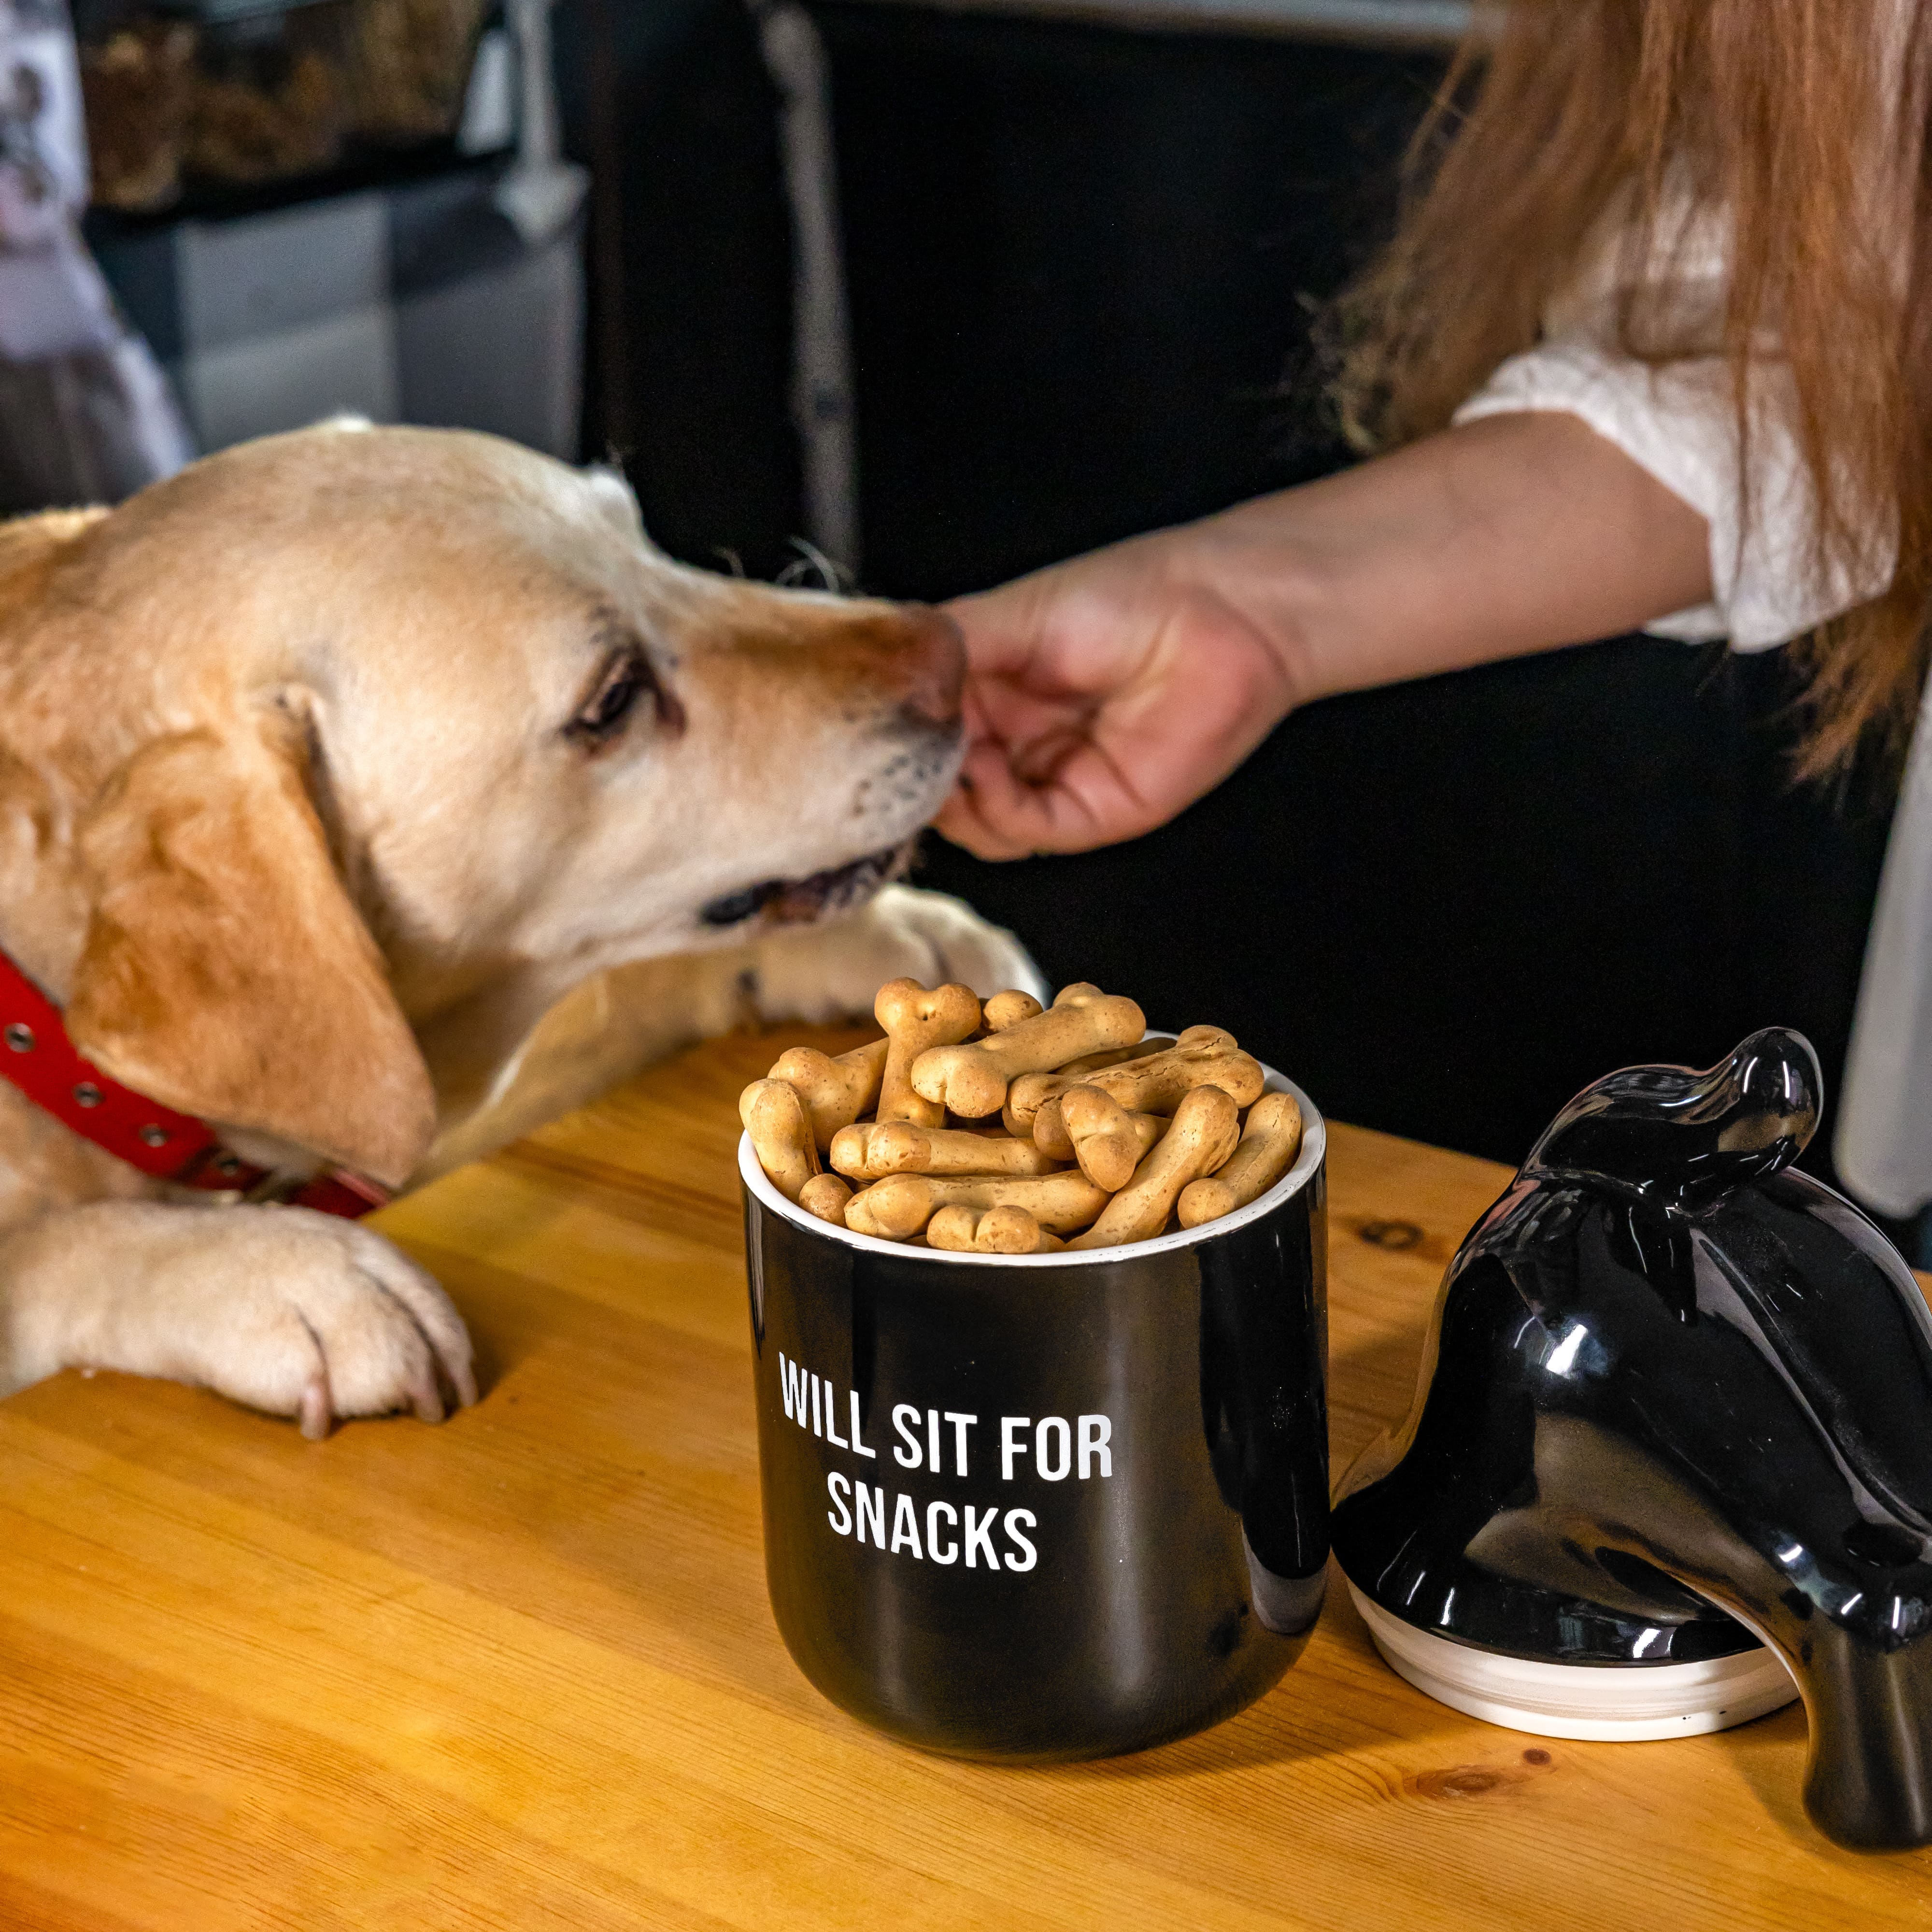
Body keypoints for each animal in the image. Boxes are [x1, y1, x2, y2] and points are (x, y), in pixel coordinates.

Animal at [0, 419, 1043, 1437]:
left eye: (643, 540)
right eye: (613, 698)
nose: (955, 651)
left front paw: (889, 936)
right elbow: (46, 1253)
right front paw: (296, 1275)